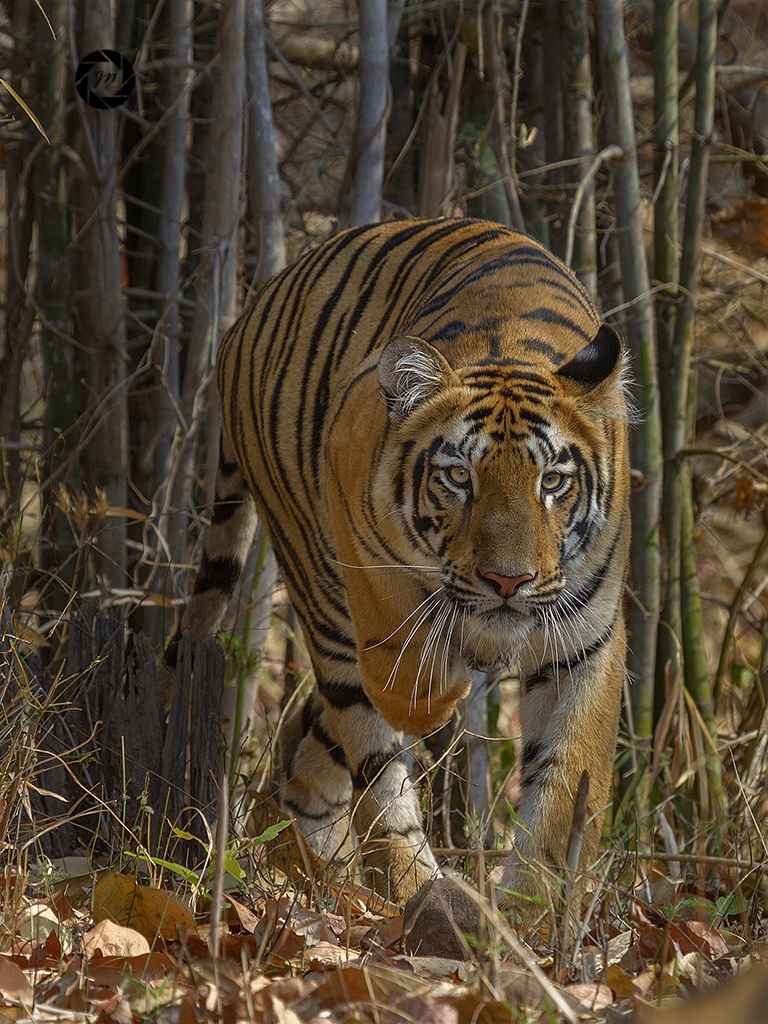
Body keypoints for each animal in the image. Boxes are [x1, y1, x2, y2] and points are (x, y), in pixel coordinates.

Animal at [169, 217, 631, 910]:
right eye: (458, 478)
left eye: (552, 481)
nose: (508, 581)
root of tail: (246, 315)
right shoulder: (361, 536)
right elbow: (401, 671)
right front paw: (435, 699)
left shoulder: (585, 639)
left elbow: (561, 787)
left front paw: (532, 916)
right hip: (318, 589)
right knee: (373, 767)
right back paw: (413, 896)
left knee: (312, 767)